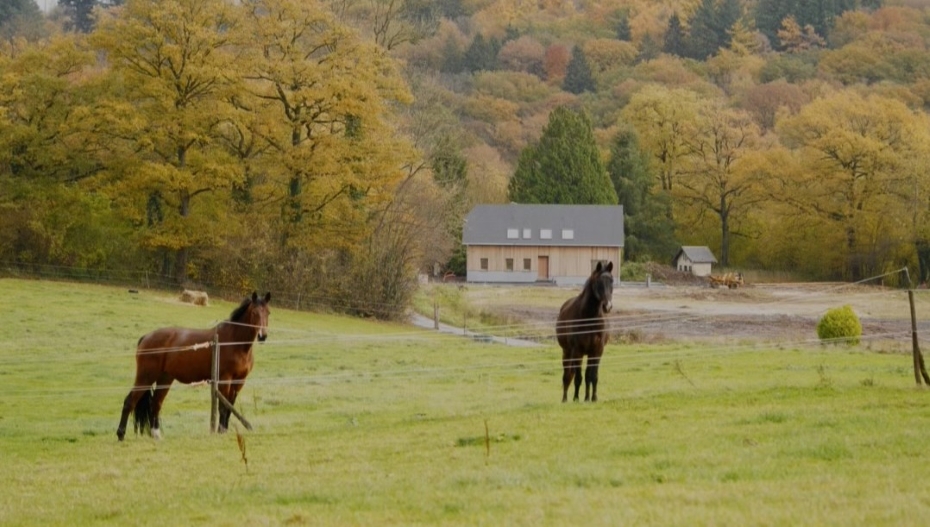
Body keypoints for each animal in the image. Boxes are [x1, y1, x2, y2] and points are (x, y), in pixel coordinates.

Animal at [116, 291, 271, 441]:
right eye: (254, 312)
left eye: (268, 312)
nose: (262, 336)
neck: (235, 343)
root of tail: (146, 337)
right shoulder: (225, 379)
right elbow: (223, 407)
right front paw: (221, 432)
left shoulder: (239, 381)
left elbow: (230, 407)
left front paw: (225, 430)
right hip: (146, 377)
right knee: (129, 401)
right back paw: (121, 434)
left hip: (164, 379)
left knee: (156, 404)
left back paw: (157, 435)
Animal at [556, 261, 614, 402]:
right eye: (598, 282)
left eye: (612, 281)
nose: (608, 306)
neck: (589, 318)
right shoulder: (578, 352)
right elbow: (578, 377)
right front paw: (576, 398)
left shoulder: (597, 352)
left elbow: (592, 376)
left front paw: (592, 398)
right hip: (567, 352)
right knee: (566, 376)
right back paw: (565, 399)